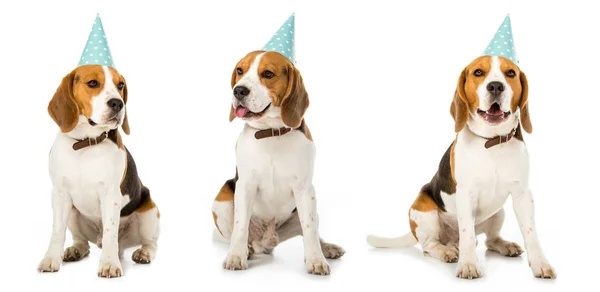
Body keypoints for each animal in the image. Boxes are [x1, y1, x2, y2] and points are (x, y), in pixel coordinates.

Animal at [37, 65, 159, 278]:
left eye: (120, 85)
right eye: (93, 83)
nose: (118, 103)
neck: (85, 144)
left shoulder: (111, 196)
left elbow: (111, 232)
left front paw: (109, 264)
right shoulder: (60, 194)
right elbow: (57, 231)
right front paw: (51, 259)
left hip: (150, 213)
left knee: (149, 242)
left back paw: (143, 253)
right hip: (74, 212)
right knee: (82, 242)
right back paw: (75, 250)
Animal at [212, 51, 344, 274]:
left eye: (268, 73)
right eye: (240, 70)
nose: (238, 90)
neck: (271, 133)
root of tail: (266, 241)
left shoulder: (305, 189)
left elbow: (309, 231)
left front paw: (316, 260)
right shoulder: (245, 186)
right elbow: (240, 226)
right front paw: (236, 256)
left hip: (309, 207)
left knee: (311, 230)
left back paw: (327, 248)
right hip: (222, 199)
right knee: (237, 234)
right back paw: (246, 249)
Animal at [368, 56, 556, 280]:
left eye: (510, 73)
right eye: (478, 72)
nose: (496, 86)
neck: (491, 142)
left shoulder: (522, 194)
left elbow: (530, 232)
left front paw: (540, 264)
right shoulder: (466, 195)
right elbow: (466, 232)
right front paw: (468, 265)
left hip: (498, 212)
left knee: (489, 241)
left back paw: (504, 245)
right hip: (424, 211)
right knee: (430, 246)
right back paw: (447, 251)